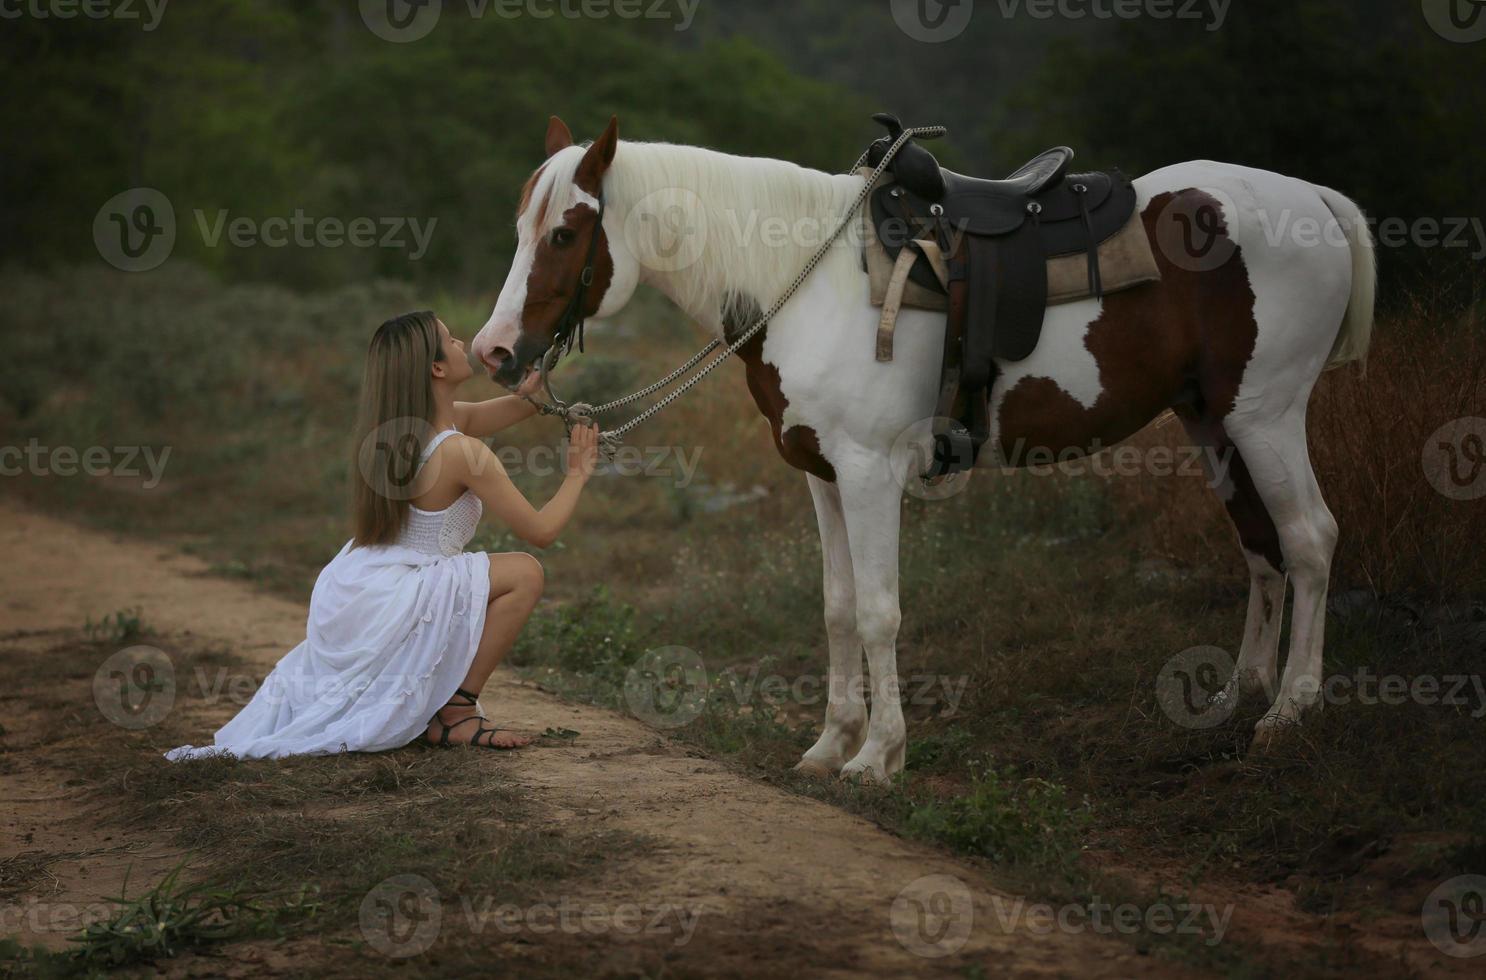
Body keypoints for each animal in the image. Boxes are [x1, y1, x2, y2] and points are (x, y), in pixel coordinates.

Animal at [469, 115, 1373, 785]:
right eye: (518, 226)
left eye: (565, 234)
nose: (494, 353)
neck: (808, 279)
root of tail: (1317, 201)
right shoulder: (823, 477)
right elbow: (837, 609)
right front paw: (830, 744)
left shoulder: (870, 475)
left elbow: (879, 610)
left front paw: (878, 756)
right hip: (1210, 422)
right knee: (1260, 548)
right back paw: (1240, 697)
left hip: (1266, 415)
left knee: (1310, 540)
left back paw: (1290, 711)